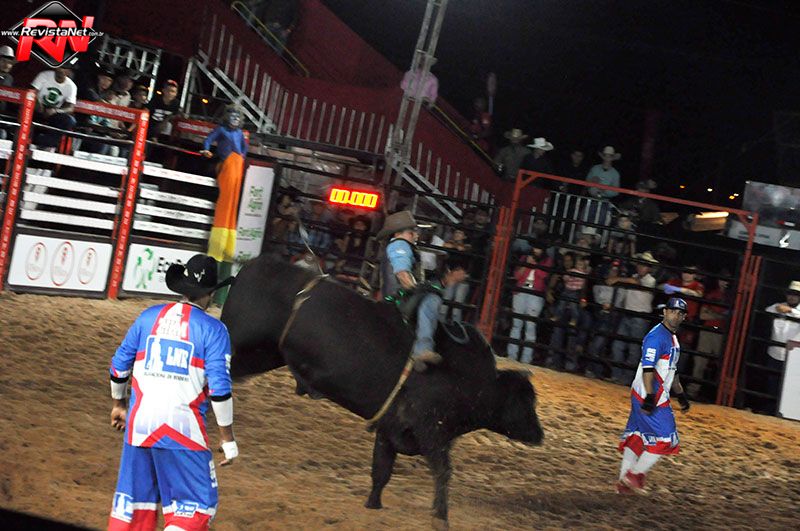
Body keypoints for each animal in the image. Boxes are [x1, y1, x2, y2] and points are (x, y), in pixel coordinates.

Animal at [221, 255, 544, 527]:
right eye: (524, 401)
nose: (540, 434)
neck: (472, 381)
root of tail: (251, 267)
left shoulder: (390, 428)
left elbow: (382, 471)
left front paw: (373, 505)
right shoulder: (430, 431)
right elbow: (442, 471)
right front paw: (440, 516)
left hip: (262, 354)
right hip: (239, 343)